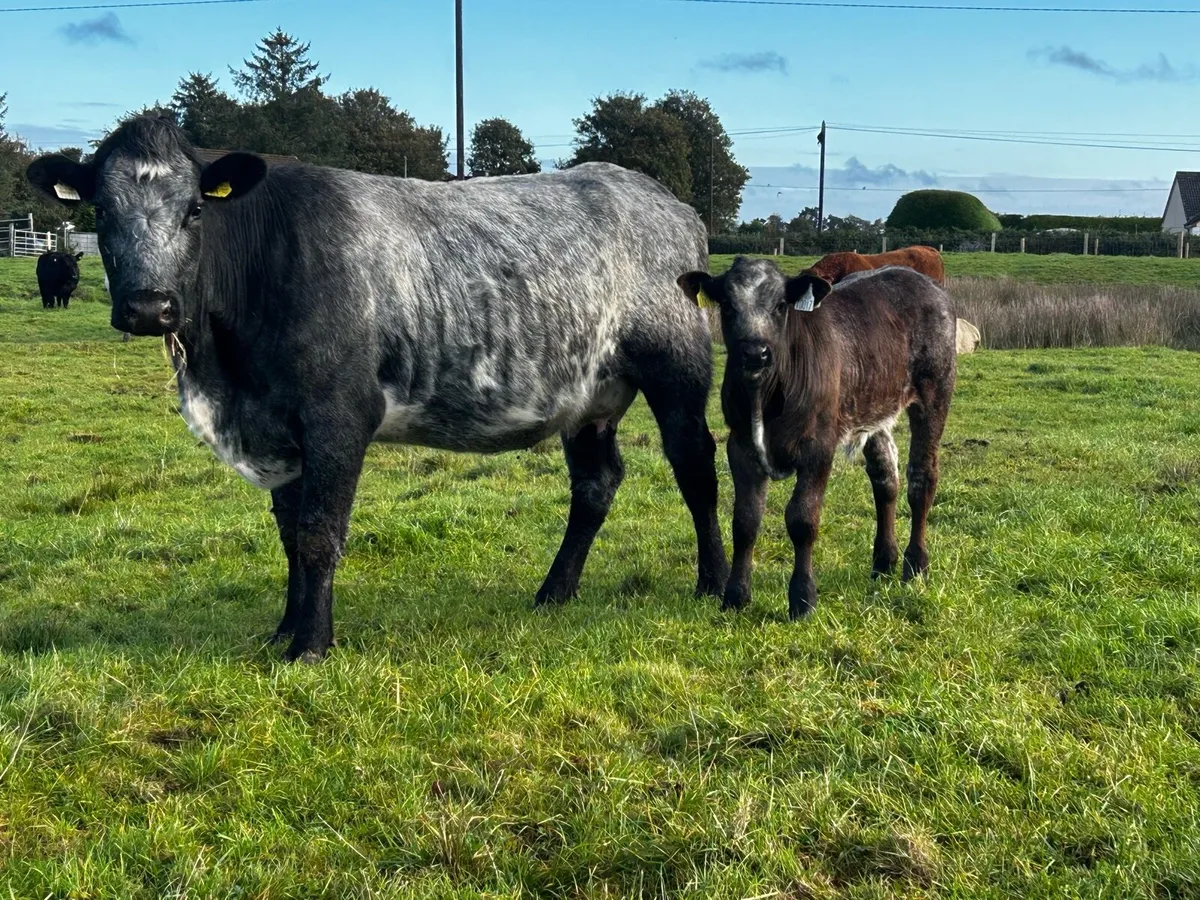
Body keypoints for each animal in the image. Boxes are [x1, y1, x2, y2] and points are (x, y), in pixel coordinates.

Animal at [27, 115, 728, 662]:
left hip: (678, 365)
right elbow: (290, 532)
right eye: (101, 211)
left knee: (695, 463)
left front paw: (311, 645)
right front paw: (284, 629)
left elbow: (319, 532)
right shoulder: (279, 428)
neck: (228, 374)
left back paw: (715, 585)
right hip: (589, 395)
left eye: (196, 208)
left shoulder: (338, 414)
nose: (150, 307)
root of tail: (664, 199)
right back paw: (555, 591)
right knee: (595, 483)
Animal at [677, 258, 956, 620]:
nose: (755, 353)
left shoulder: (819, 445)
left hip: (936, 389)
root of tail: (918, 279)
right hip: (874, 406)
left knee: (922, 477)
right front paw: (735, 597)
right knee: (885, 479)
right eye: (726, 305)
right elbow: (745, 521)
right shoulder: (740, 445)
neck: (768, 395)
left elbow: (802, 519)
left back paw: (916, 565)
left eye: (781, 305)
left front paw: (802, 599)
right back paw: (883, 563)